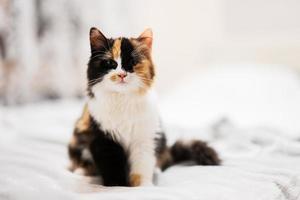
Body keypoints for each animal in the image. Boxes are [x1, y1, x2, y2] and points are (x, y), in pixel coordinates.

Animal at [67, 27, 220, 187]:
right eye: (110, 63)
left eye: (132, 62)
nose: (121, 74)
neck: (123, 100)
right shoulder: (103, 139)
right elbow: (112, 168)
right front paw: (117, 186)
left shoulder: (144, 138)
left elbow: (141, 168)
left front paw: (143, 187)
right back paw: (81, 171)